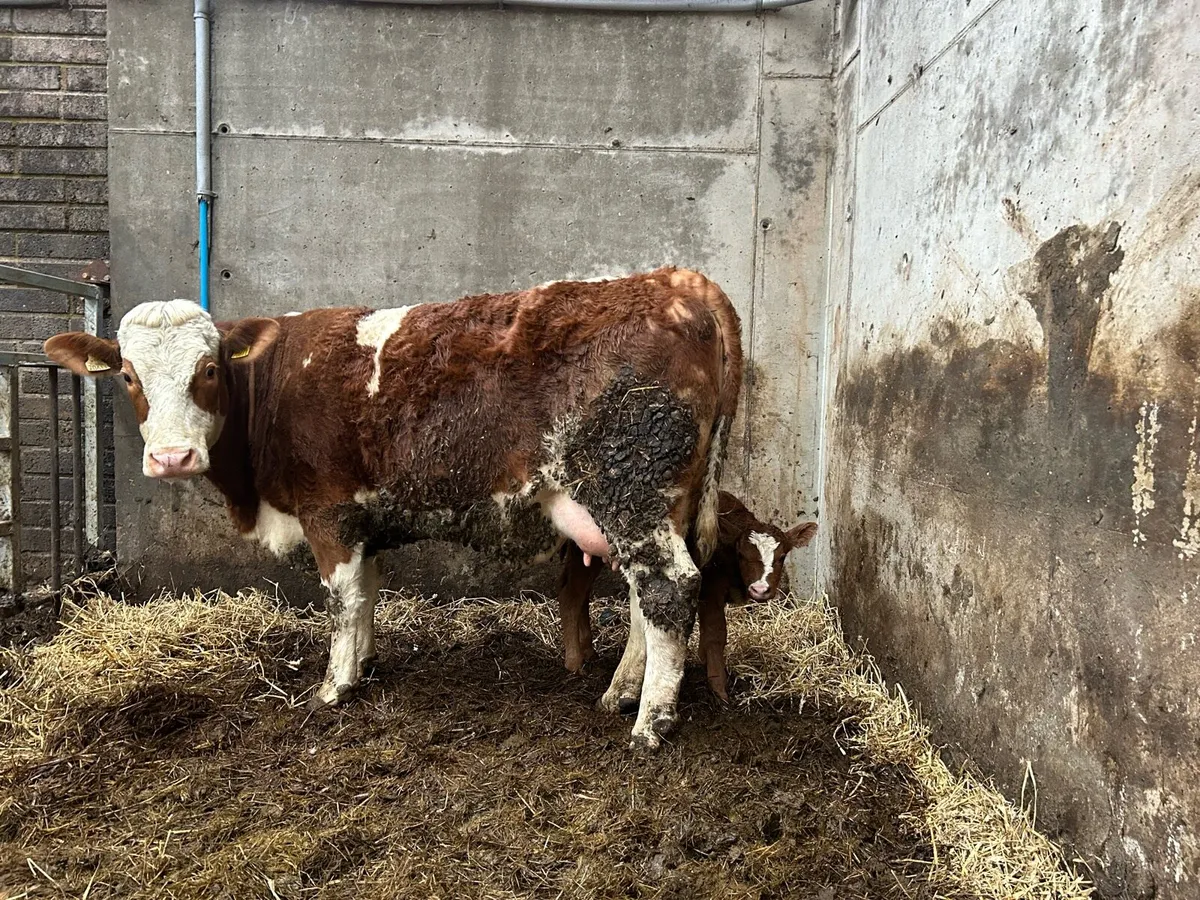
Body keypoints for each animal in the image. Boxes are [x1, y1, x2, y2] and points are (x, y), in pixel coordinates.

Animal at [44, 267, 743, 749]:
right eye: (127, 375)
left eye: (209, 369)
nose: (172, 457)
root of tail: (675, 280)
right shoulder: (361, 522)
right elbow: (367, 592)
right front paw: (365, 662)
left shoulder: (327, 513)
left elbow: (341, 599)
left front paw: (334, 688)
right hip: (649, 502)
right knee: (646, 597)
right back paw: (621, 692)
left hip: (632, 487)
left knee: (668, 588)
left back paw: (650, 722)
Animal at [557, 491, 817, 701]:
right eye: (742, 555)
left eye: (782, 556)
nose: (760, 589)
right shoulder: (711, 590)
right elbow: (716, 634)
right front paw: (719, 688)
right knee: (570, 597)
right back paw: (574, 663)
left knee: (581, 596)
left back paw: (588, 650)